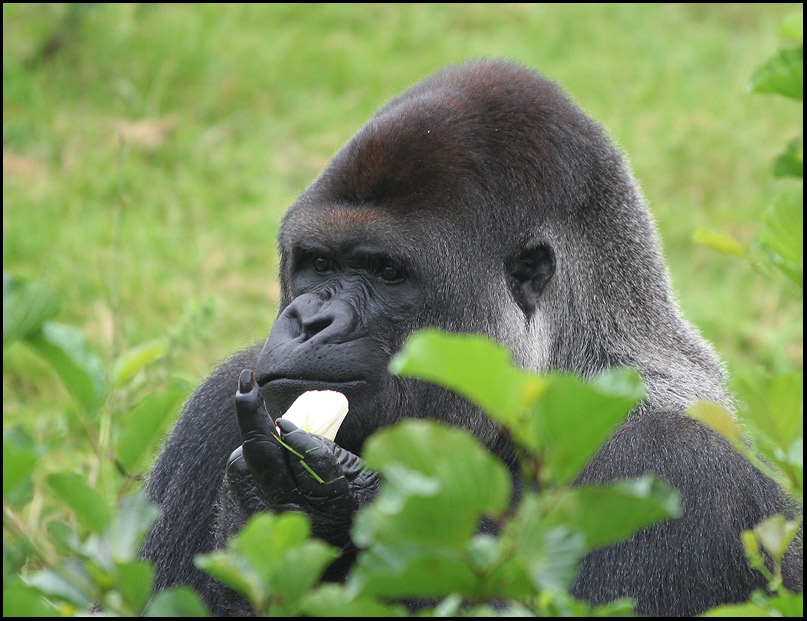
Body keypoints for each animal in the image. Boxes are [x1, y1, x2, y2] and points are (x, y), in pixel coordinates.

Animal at [142, 59, 804, 616]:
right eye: (318, 263)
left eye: (387, 272)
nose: (308, 322)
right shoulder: (215, 406)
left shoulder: (672, 464)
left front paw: (301, 508)